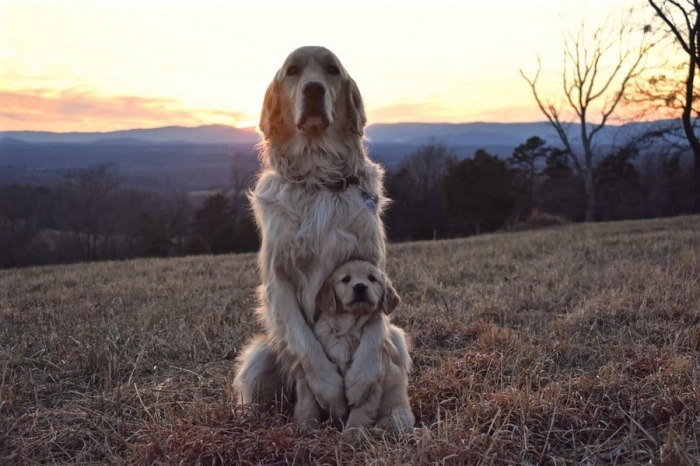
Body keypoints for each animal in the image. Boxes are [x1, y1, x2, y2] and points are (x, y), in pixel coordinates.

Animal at [237, 45, 396, 420]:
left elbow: (375, 327)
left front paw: (361, 380)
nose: (313, 90)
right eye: (293, 71)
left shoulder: (373, 264)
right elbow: (303, 341)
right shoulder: (278, 280)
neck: (318, 176)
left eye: (332, 70)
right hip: (259, 358)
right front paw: (329, 390)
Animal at [292, 260, 412, 436]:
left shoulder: (370, 383)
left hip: (397, 414)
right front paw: (307, 430)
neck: (347, 328)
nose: (360, 287)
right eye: (346, 279)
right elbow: (308, 403)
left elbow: (360, 412)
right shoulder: (308, 376)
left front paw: (352, 436)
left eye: (372, 278)